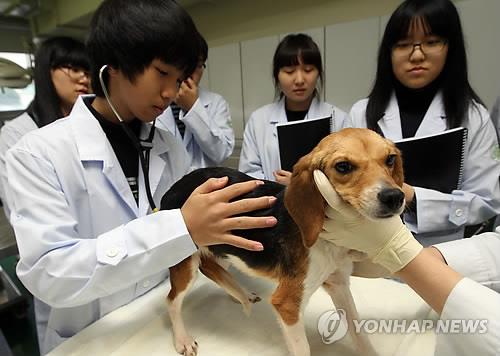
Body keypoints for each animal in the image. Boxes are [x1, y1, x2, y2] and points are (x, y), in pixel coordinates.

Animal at [162, 129, 404, 356]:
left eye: (390, 159)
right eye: (343, 166)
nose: (394, 197)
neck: (326, 233)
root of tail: (173, 188)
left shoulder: (338, 283)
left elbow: (358, 332)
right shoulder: (288, 304)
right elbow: (302, 348)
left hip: (230, 249)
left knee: (211, 267)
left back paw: (240, 293)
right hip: (186, 260)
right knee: (172, 300)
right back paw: (183, 339)